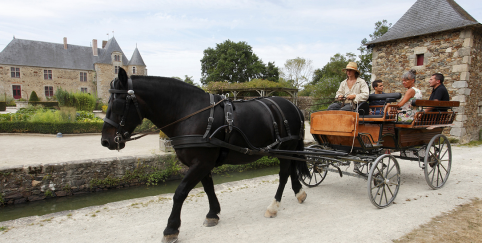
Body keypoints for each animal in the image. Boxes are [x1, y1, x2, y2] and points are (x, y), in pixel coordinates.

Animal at [101, 67, 310, 243]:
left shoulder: (201, 163)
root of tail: (292, 105)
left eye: (117, 103)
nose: (106, 141)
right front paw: (213, 214)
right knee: (292, 169)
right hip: (287, 150)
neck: (190, 112)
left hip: (286, 148)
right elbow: (208, 188)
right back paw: (299, 192)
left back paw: (273, 207)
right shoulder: (203, 163)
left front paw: (171, 229)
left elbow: (180, 192)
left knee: (283, 174)